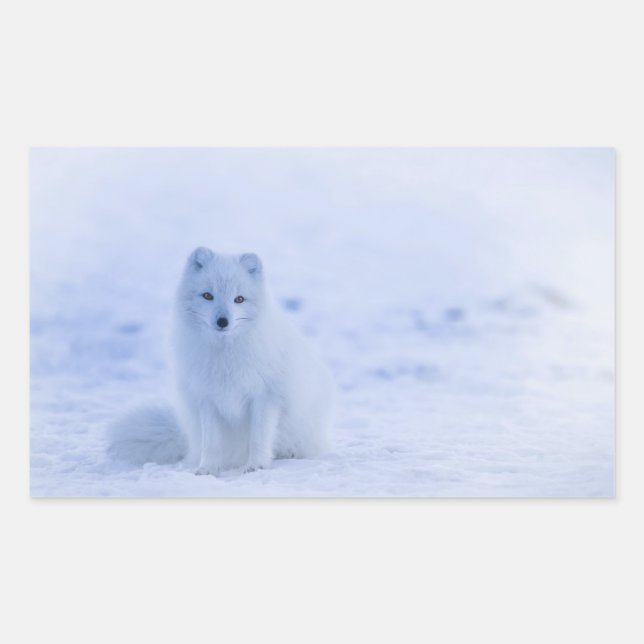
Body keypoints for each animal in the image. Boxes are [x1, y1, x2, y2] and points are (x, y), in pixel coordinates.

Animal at [107, 247, 335, 475]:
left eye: (239, 299)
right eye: (208, 295)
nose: (223, 321)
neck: (225, 355)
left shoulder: (265, 397)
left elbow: (259, 438)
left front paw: (256, 465)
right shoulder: (207, 399)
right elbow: (211, 442)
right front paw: (207, 469)